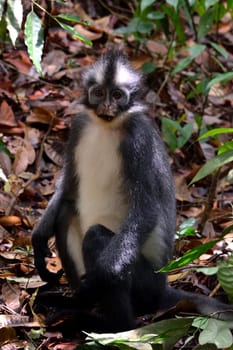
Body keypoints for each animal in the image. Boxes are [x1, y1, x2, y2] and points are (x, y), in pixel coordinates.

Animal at [31, 50, 233, 334]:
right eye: (99, 93)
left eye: (117, 95)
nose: (106, 107)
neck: (107, 126)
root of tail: (162, 289)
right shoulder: (79, 126)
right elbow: (68, 187)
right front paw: (39, 239)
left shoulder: (138, 140)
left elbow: (145, 210)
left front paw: (96, 281)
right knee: (66, 212)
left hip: (144, 284)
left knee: (96, 237)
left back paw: (104, 322)